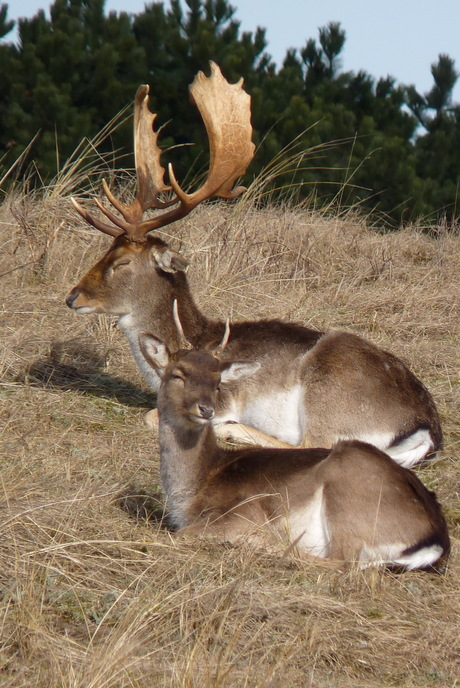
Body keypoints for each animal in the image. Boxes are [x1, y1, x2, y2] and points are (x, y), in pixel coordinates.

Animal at [64, 61, 442, 468]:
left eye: (121, 262)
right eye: (106, 249)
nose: (73, 297)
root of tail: (425, 429)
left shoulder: (223, 395)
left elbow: (154, 414)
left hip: (331, 394)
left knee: (319, 444)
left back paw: (232, 431)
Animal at [139, 308, 450, 568]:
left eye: (218, 382)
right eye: (177, 374)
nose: (205, 409)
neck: (195, 487)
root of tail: (436, 540)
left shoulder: (239, 512)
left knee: (338, 561)